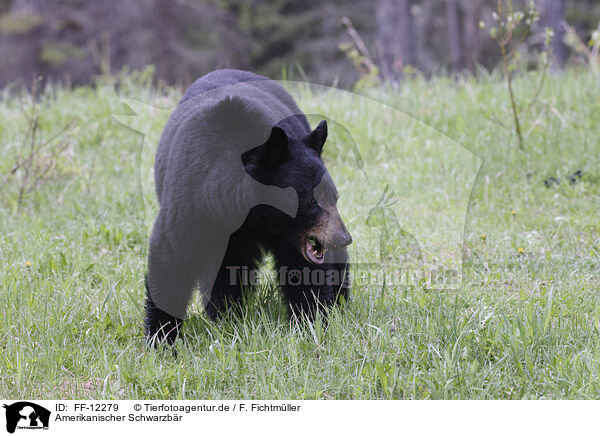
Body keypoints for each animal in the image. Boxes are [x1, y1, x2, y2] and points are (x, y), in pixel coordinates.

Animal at [145, 69, 352, 344]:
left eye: (334, 197)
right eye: (311, 200)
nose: (343, 237)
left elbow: (304, 270)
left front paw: (309, 323)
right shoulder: (191, 200)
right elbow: (170, 258)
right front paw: (160, 338)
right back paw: (224, 315)